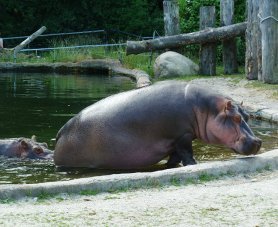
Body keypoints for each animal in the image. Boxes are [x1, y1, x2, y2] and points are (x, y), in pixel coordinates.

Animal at [53, 80, 260, 169]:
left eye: (247, 116)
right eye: (236, 118)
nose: (257, 141)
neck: (206, 109)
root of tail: (62, 131)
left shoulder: (176, 140)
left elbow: (175, 157)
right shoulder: (182, 135)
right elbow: (187, 153)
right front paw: (194, 164)